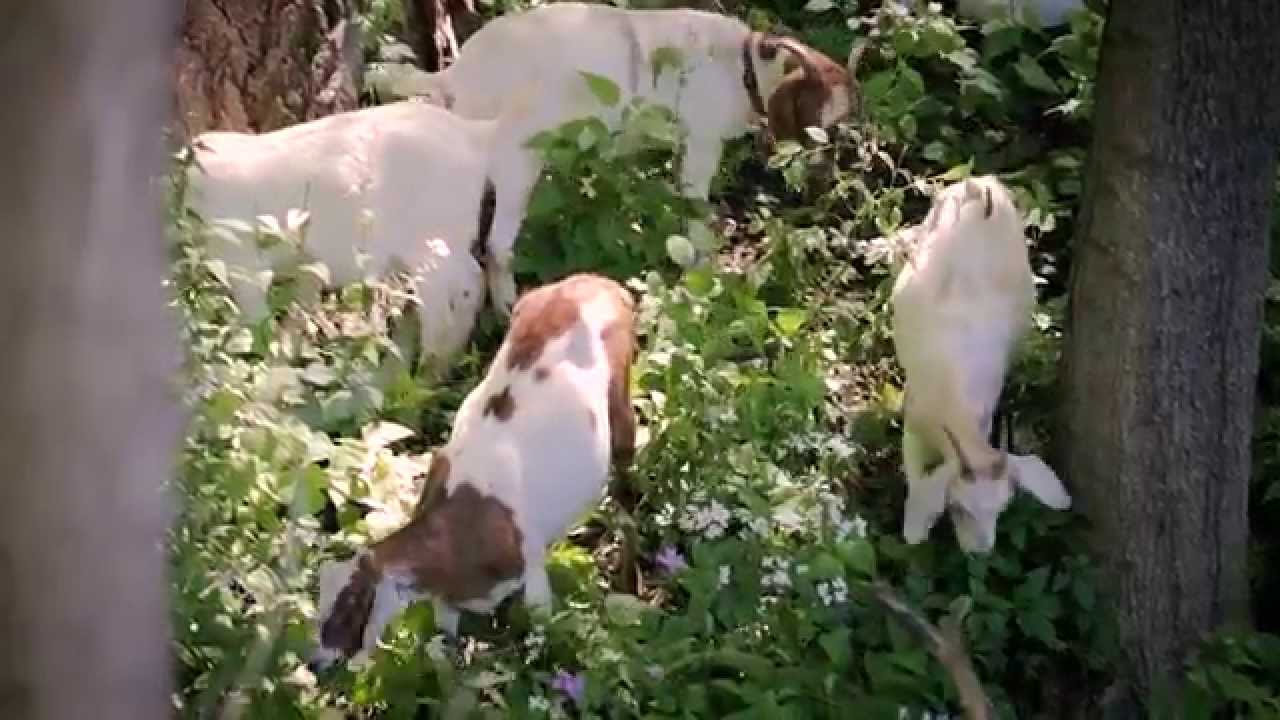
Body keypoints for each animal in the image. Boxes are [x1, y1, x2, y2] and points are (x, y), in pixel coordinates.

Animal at [185, 92, 532, 374]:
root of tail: (473, 134)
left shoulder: (240, 257)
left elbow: (257, 320)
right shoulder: (306, 263)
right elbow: (300, 307)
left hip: (430, 239)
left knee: (455, 292)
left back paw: (428, 369)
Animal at [307, 272, 637, 670]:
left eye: (347, 607)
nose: (313, 661)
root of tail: (594, 281)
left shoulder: (531, 568)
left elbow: (542, 631)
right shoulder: (448, 599)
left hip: (621, 398)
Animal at [367, 2, 859, 316]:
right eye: (819, 120)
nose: (829, 183)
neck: (742, 66)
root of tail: (456, 76)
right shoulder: (702, 144)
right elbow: (697, 214)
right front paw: (706, 275)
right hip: (517, 163)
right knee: (495, 247)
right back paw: (506, 307)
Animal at [889, 175, 1071, 554]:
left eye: (1003, 509)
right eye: (959, 507)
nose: (981, 553)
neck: (950, 398)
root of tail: (983, 189)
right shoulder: (912, 417)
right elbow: (914, 475)